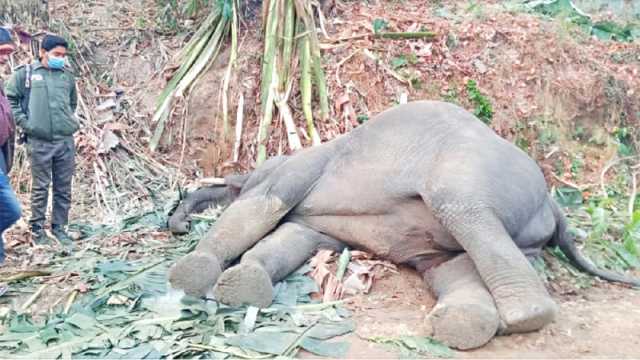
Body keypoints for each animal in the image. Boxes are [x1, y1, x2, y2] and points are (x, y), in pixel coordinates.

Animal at [166, 100, 640, 350]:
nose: (176, 223)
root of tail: (553, 203)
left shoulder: (303, 166)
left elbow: (262, 204)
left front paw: (190, 275)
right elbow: (294, 235)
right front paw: (243, 285)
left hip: (473, 176)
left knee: (464, 211)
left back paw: (522, 317)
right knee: (451, 264)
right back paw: (464, 325)